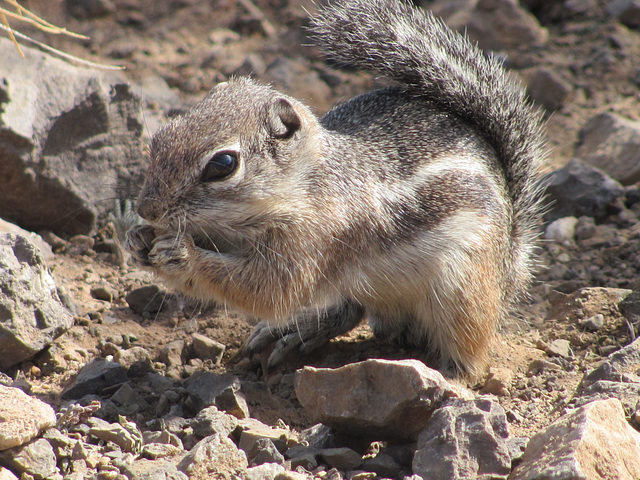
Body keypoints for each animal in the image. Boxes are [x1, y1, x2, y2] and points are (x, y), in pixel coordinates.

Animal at [124, 0, 544, 376]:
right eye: (162, 134)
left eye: (223, 165)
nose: (147, 209)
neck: (304, 185)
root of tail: (509, 269)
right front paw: (138, 239)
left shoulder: (316, 237)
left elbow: (271, 289)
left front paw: (181, 255)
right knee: (350, 308)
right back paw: (299, 330)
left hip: (463, 290)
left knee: (469, 352)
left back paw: (450, 379)